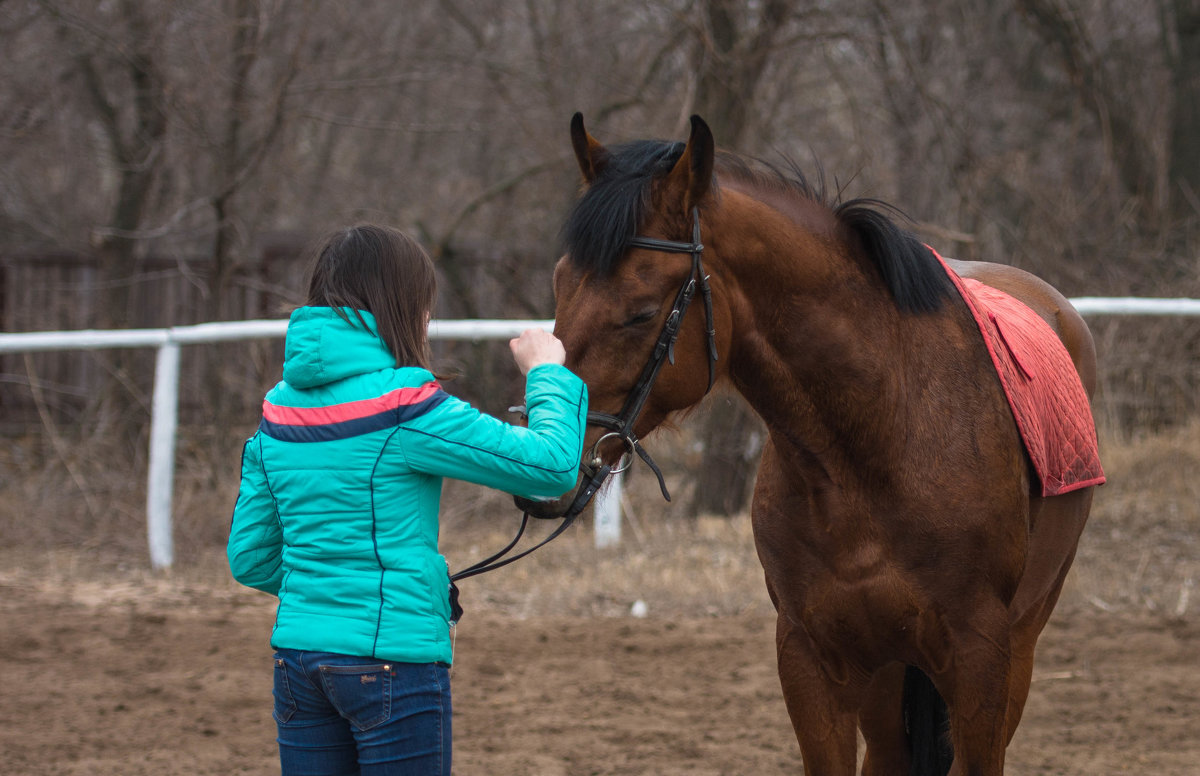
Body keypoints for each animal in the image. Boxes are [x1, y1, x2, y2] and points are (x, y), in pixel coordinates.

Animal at [530, 115, 1099, 776]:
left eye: (642, 312)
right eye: (560, 284)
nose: (544, 464)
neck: (881, 442)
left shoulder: (982, 660)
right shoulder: (811, 659)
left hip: (1020, 644)